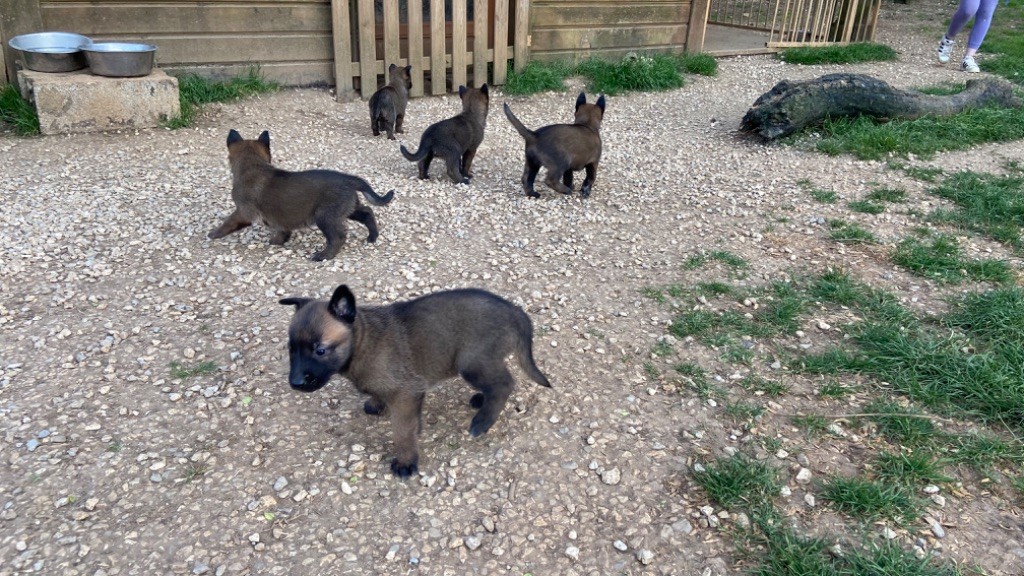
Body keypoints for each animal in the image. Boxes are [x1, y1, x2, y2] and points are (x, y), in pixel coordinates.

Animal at [207, 129, 395, 260]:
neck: (253, 166)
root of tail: (348, 179)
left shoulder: (244, 212)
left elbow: (228, 222)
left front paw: (214, 234)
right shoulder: (279, 217)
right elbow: (282, 230)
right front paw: (278, 241)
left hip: (325, 216)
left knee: (339, 237)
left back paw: (324, 256)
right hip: (347, 209)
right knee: (367, 212)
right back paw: (372, 236)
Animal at [278, 282, 552, 475]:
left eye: (320, 350)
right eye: (291, 349)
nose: (295, 383)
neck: (363, 341)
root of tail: (516, 312)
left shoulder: (406, 395)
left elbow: (402, 431)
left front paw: (406, 462)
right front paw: (377, 404)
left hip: (472, 362)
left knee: (505, 384)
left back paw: (482, 421)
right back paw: (480, 400)